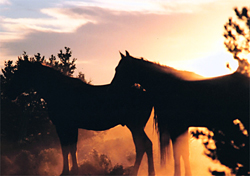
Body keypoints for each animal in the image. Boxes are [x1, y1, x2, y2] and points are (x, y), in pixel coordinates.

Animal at [5, 59, 155, 175]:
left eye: (20, 74)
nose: (9, 93)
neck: (56, 91)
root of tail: (147, 93)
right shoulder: (69, 127)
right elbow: (70, 148)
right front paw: (71, 170)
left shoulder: (64, 126)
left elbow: (67, 149)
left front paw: (68, 171)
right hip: (136, 126)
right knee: (143, 146)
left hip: (135, 126)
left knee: (144, 145)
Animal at [112, 51, 250, 176]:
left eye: (119, 69)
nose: (113, 88)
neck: (171, 86)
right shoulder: (181, 128)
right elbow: (183, 153)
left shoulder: (176, 127)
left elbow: (178, 153)